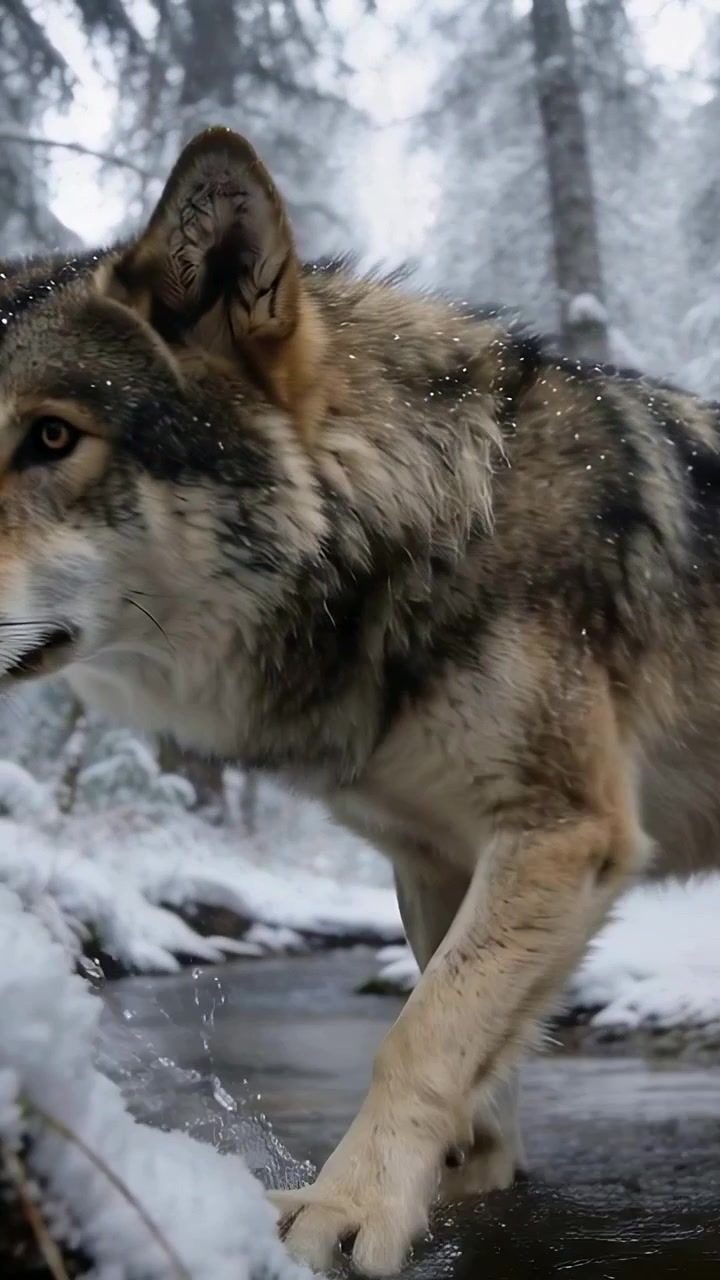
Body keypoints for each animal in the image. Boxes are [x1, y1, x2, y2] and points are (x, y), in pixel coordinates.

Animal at [1, 127, 719, 1276]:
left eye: (54, 438)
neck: (420, 520)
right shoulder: (434, 856)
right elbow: (459, 1031)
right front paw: (459, 1180)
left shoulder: (563, 831)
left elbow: (418, 1030)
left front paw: (344, 1208)